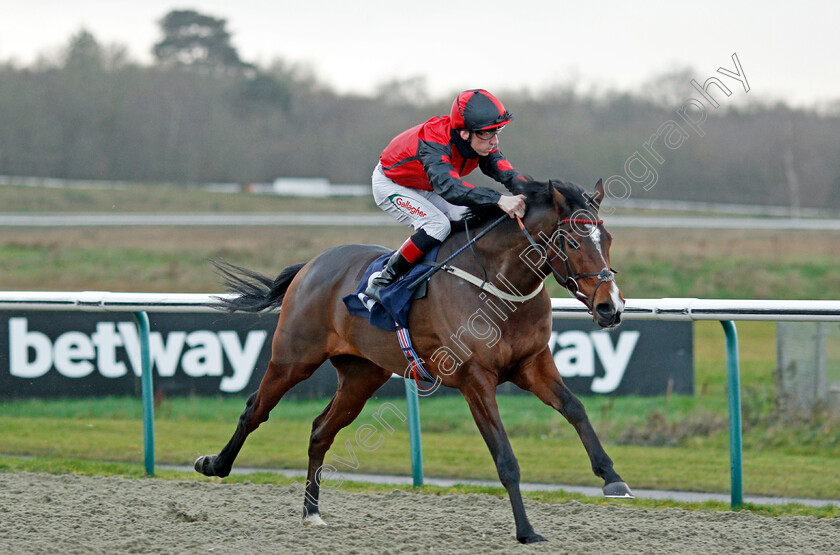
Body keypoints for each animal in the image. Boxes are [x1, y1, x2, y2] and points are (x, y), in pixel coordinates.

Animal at [195, 178, 632, 544]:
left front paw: (613, 478)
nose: (610, 307)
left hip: (361, 376)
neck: (498, 283)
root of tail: (312, 265)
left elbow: (575, 409)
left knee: (320, 431)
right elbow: (505, 456)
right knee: (255, 410)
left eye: (608, 239)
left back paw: (311, 512)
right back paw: (214, 464)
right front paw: (526, 531)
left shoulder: (533, 364)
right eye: (572, 243)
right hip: (293, 358)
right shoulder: (475, 379)